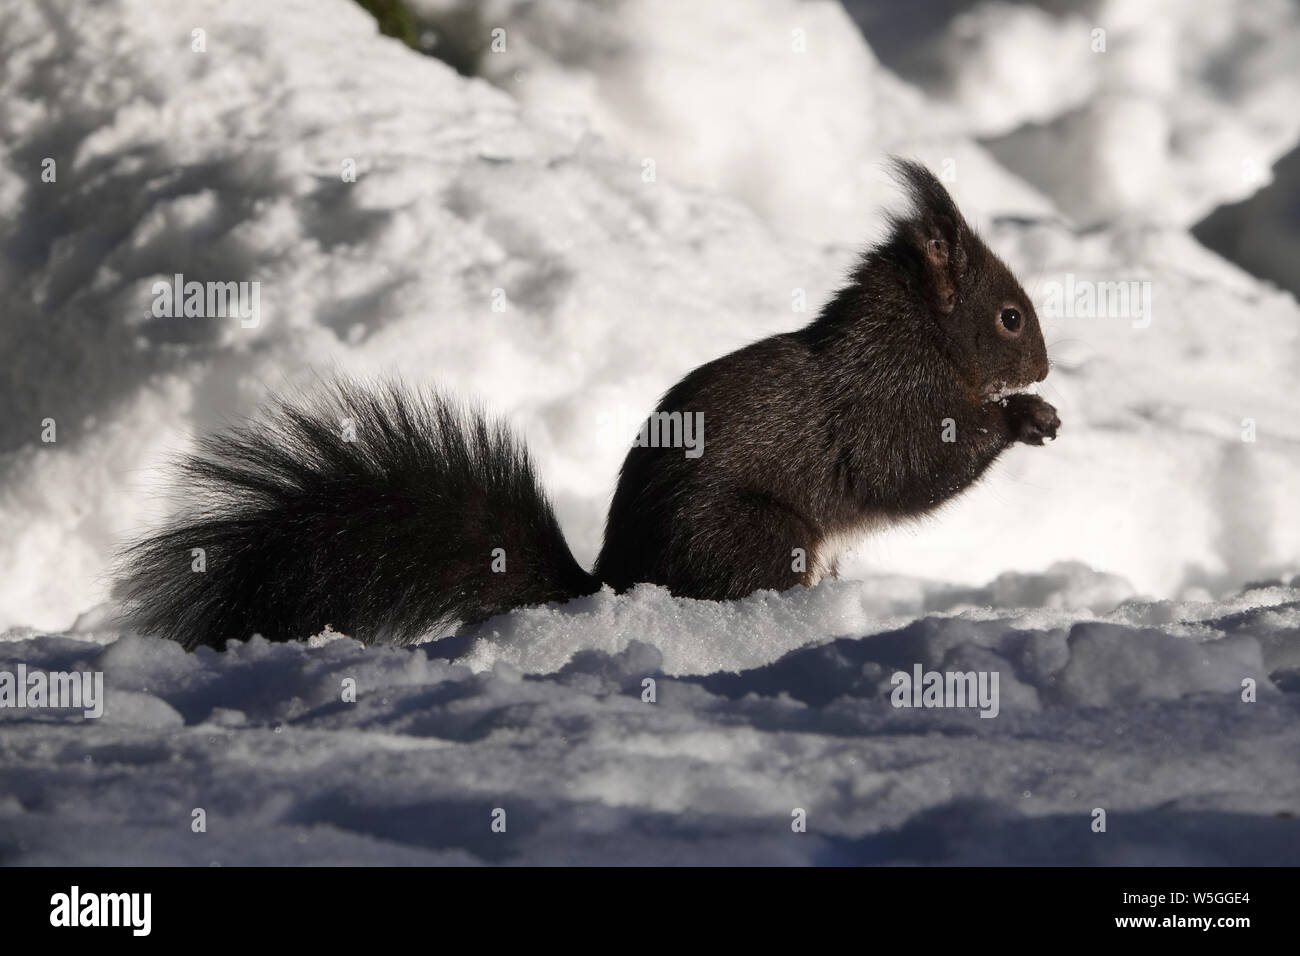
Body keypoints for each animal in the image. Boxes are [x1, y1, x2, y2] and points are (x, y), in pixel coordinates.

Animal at [117, 159, 1059, 650]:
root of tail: (612, 581)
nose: (1047, 367)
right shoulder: (882, 404)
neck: (917, 338)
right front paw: (1023, 420)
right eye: (1010, 316)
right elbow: (914, 466)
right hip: (759, 534)